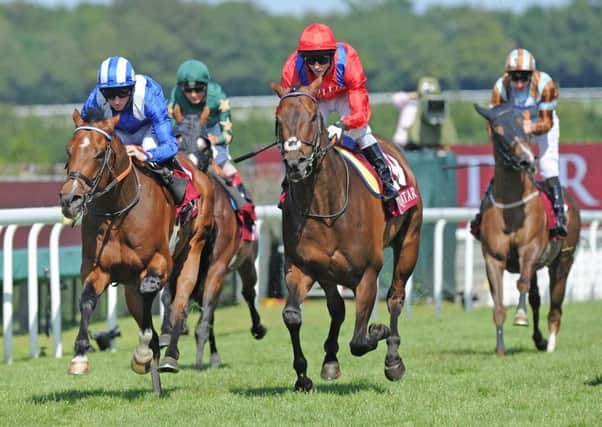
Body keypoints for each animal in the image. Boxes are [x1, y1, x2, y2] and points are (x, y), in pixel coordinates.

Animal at [58, 109, 216, 394]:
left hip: (193, 250)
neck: (118, 211)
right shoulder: (98, 268)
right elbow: (87, 300)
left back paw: (169, 357)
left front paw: (144, 353)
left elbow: (150, 301)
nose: (69, 199)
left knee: (179, 302)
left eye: (99, 153)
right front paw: (79, 358)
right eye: (69, 150)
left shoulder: (160, 264)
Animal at [157, 108, 264, 372]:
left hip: (246, 261)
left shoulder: (217, 267)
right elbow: (169, 297)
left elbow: (205, 318)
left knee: (247, 292)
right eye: (177, 139)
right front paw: (168, 333)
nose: (188, 171)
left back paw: (256, 329)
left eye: (206, 146)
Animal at [272, 78, 422, 392]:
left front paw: (379, 331)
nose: (296, 164)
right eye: (278, 119)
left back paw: (393, 358)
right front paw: (303, 376)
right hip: (328, 273)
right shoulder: (301, 267)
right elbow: (292, 315)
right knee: (337, 308)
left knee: (395, 297)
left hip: (409, 242)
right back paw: (330, 359)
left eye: (313, 118)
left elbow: (359, 340)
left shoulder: (367, 273)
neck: (325, 207)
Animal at [474, 103, 576, 358]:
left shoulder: (529, 249)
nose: (526, 161)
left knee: (555, 304)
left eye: (524, 126)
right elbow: (499, 303)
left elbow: (521, 284)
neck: (512, 207)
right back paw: (539, 340)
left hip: (563, 260)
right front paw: (500, 348)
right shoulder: (493, 258)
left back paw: (550, 345)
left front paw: (520, 317)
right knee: (537, 298)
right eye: (498, 130)